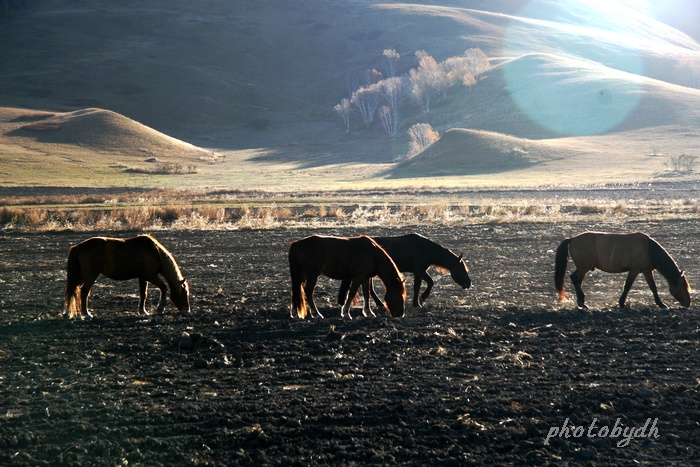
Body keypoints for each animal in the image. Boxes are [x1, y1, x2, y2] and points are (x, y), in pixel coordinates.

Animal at [61, 236, 189, 320]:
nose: (187, 311)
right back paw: (86, 314)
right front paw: (160, 308)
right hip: (91, 275)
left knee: (72, 290)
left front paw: (142, 311)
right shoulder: (150, 276)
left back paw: (66, 313)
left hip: (81, 276)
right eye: (184, 293)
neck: (154, 251)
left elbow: (143, 294)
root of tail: (77, 247)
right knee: (84, 291)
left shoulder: (143, 278)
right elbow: (163, 287)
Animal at [334, 233, 470, 310]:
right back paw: (379, 304)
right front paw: (423, 298)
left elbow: (417, 287)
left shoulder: (418, 272)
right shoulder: (419, 270)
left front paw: (416, 303)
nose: (469, 284)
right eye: (462, 269)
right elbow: (431, 282)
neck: (425, 248)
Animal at [556, 231, 692, 310]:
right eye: (683, 286)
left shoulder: (647, 271)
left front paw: (661, 304)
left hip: (583, 268)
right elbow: (627, 286)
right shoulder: (634, 270)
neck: (649, 250)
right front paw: (621, 303)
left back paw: (581, 302)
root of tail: (572, 239)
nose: (688, 303)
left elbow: (653, 288)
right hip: (584, 267)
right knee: (574, 278)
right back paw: (582, 303)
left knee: (577, 281)